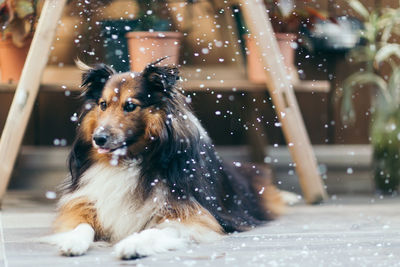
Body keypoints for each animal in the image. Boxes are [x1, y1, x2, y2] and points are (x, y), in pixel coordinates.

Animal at [48, 58, 288, 260]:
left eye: (130, 105)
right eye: (103, 104)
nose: (98, 139)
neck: (128, 161)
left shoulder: (191, 216)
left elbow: (155, 230)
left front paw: (132, 244)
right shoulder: (86, 202)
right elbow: (82, 225)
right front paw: (73, 240)